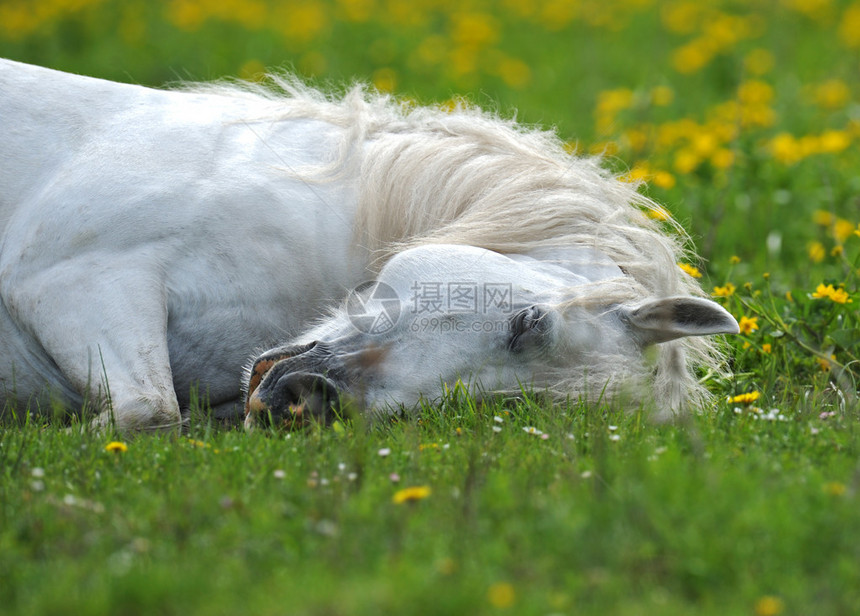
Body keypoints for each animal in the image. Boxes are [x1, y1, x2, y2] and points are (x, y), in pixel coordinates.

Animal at [0, 59, 740, 434]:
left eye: (501, 406)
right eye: (526, 327)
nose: (306, 396)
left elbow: (155, 414)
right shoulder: (76, 281)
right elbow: (148, 413)